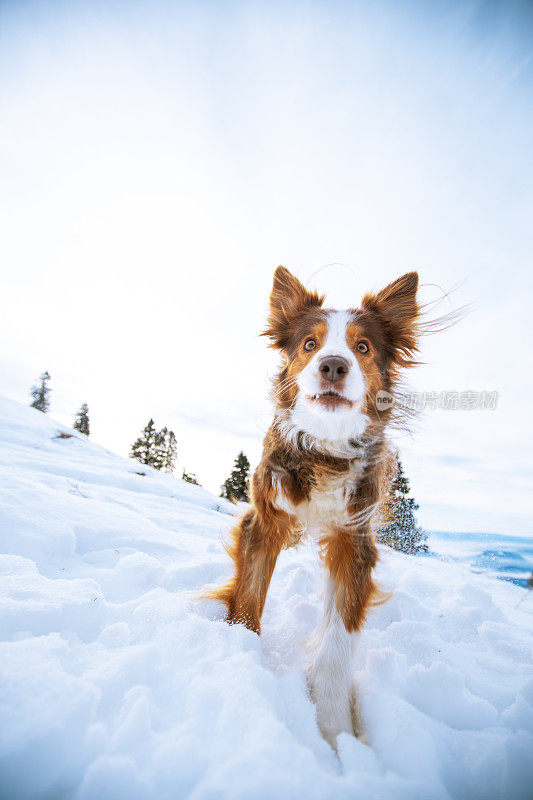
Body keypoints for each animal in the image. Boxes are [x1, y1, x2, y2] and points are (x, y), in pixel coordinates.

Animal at [207, 266, 420, 748]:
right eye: (310, 344)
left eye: (363, 347)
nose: (333, 365)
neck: (325, 449)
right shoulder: (266, 518)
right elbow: (249, 599)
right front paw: (244, 662)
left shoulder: (354, 539)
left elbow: (336, 646)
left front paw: (336, 733)